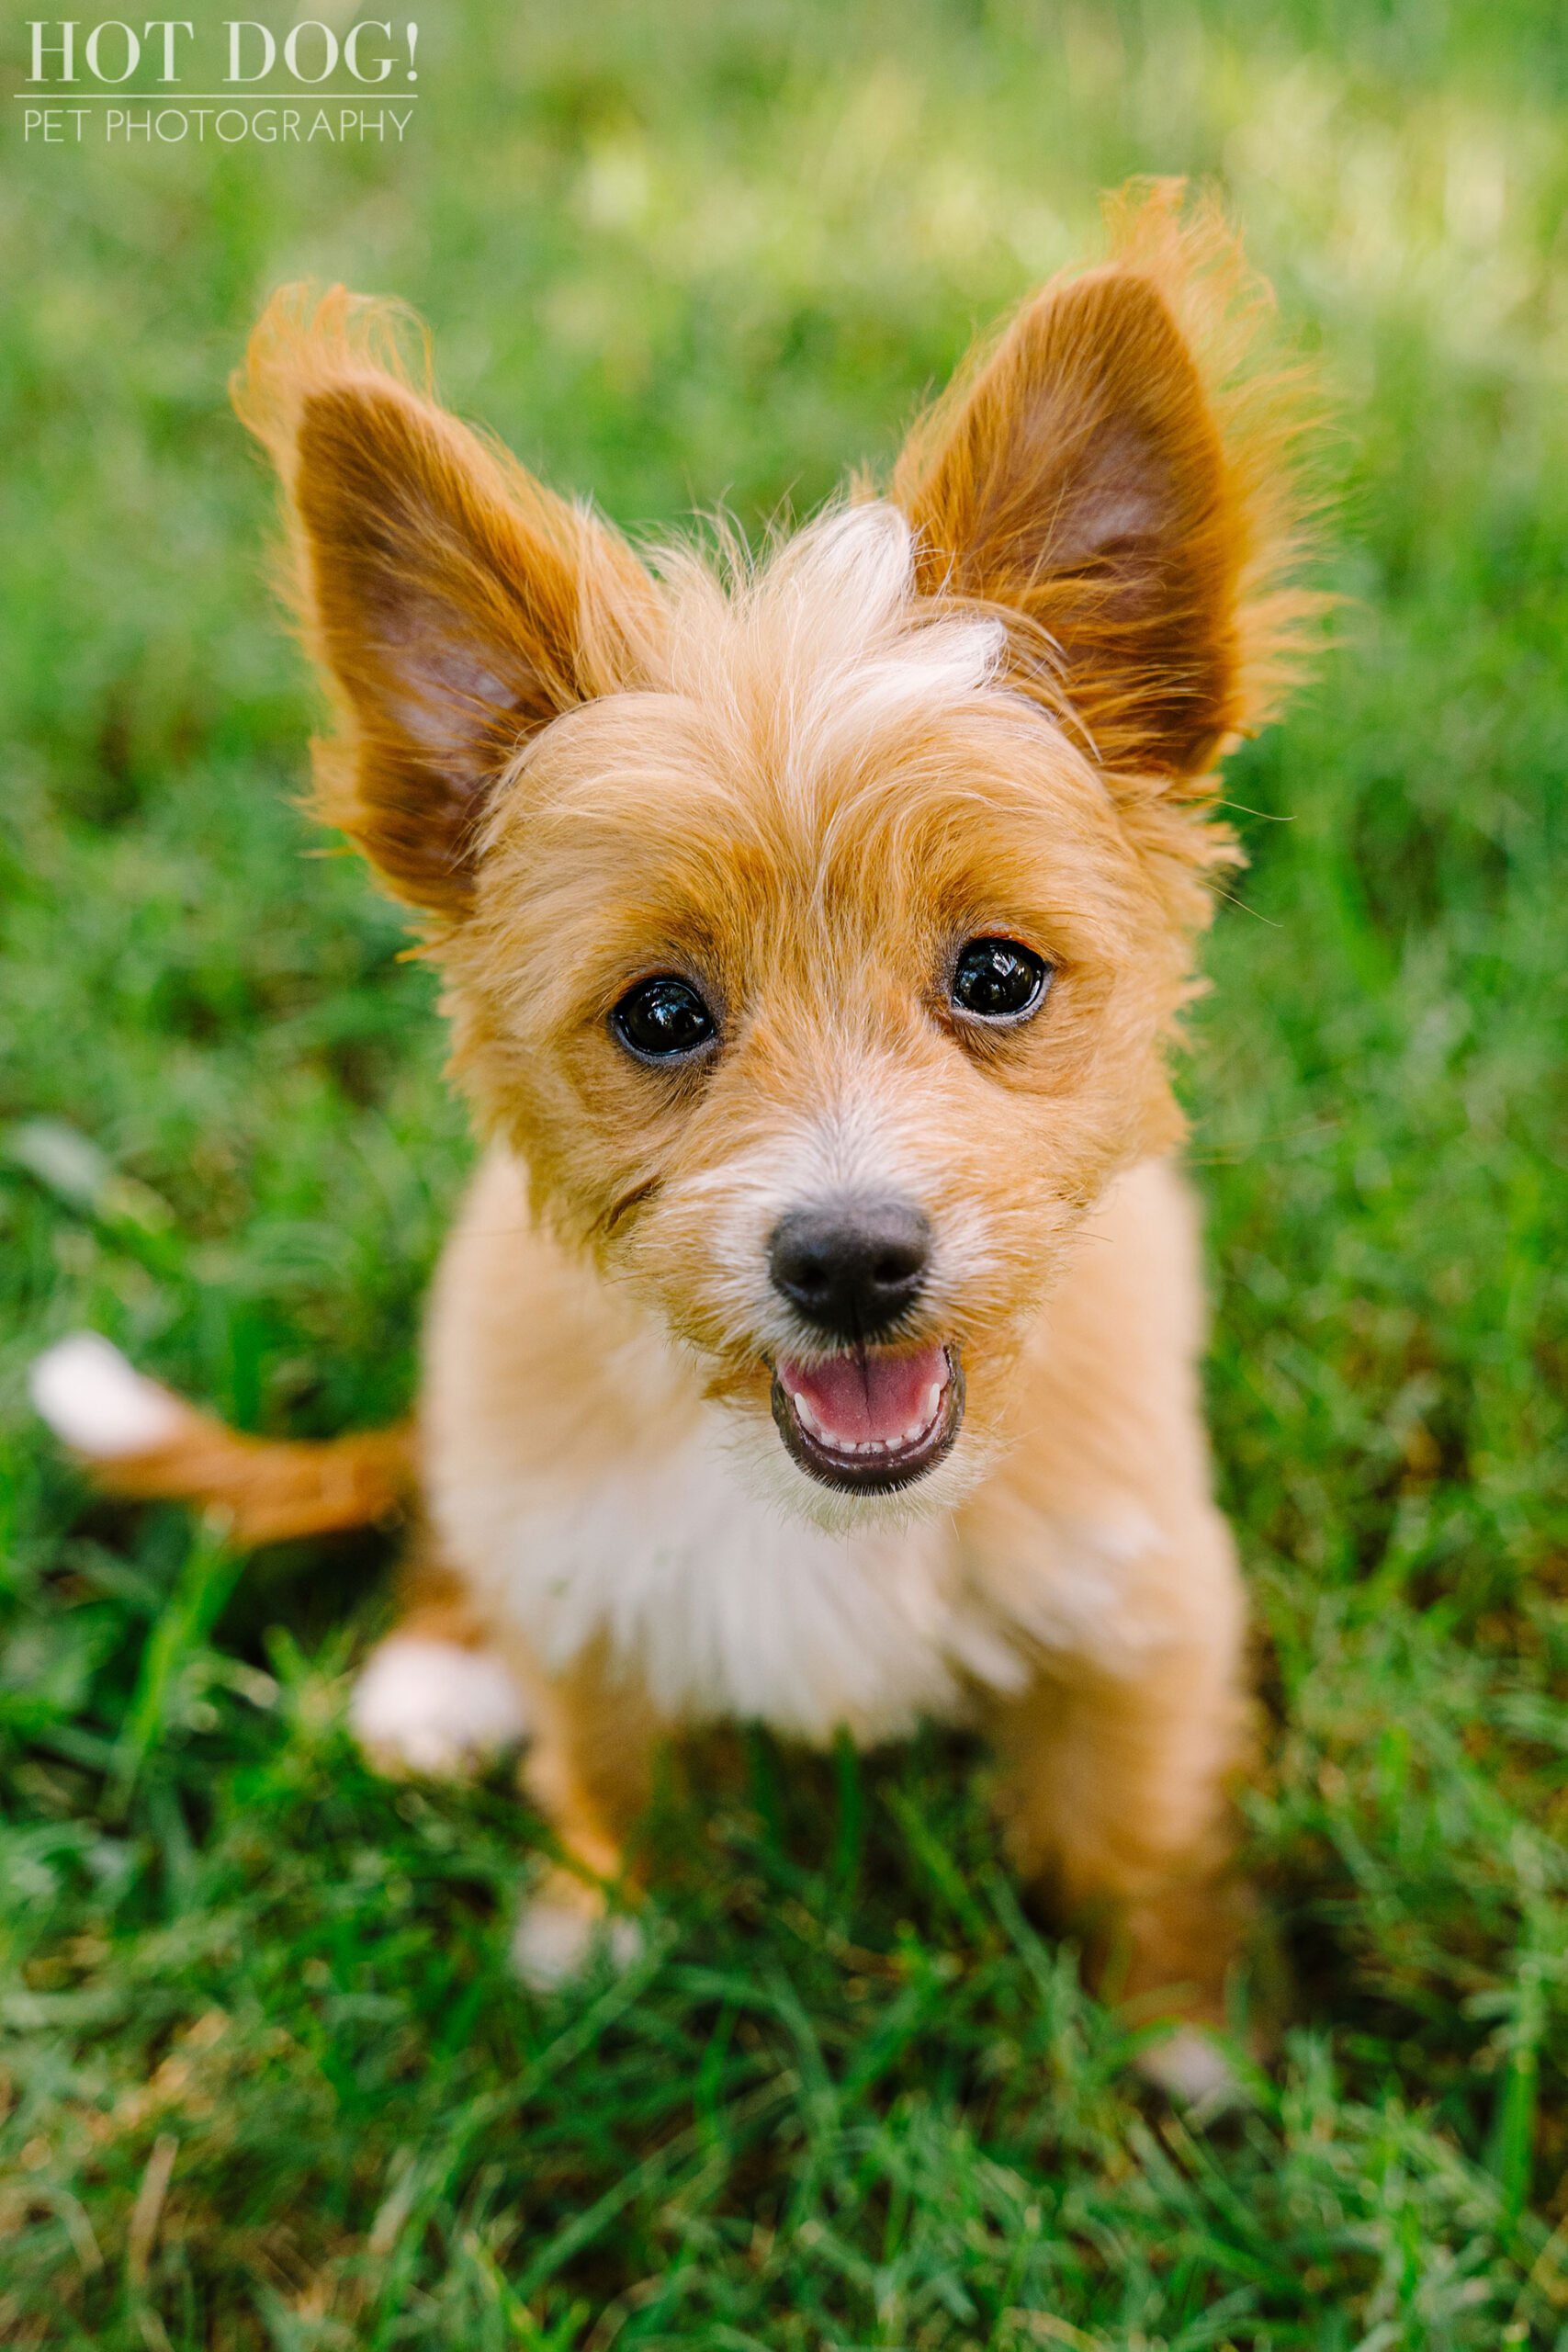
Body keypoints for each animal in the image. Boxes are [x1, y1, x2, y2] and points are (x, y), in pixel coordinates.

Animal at [30, 187, 1316, 2098]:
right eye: (658, 1015)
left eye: (995, 977)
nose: (851, 1263)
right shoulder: (586, 1572)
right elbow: (611, 1757)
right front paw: (594, 1930)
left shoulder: (1140, 1602)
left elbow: (1131, 1829)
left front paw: (1181, 2039)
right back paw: (434, 1675)